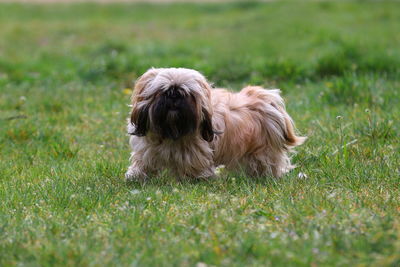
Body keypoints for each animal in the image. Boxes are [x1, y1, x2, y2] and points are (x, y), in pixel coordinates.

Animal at [126, 68, 306, 181]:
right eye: (163, 91)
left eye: (187, 94)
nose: (174, 95)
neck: (172, 130)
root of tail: (267, 102)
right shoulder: (147, 149)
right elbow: (143, 162)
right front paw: (136, 176)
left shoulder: (195, 152)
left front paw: (195, 179)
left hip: (263, 150)